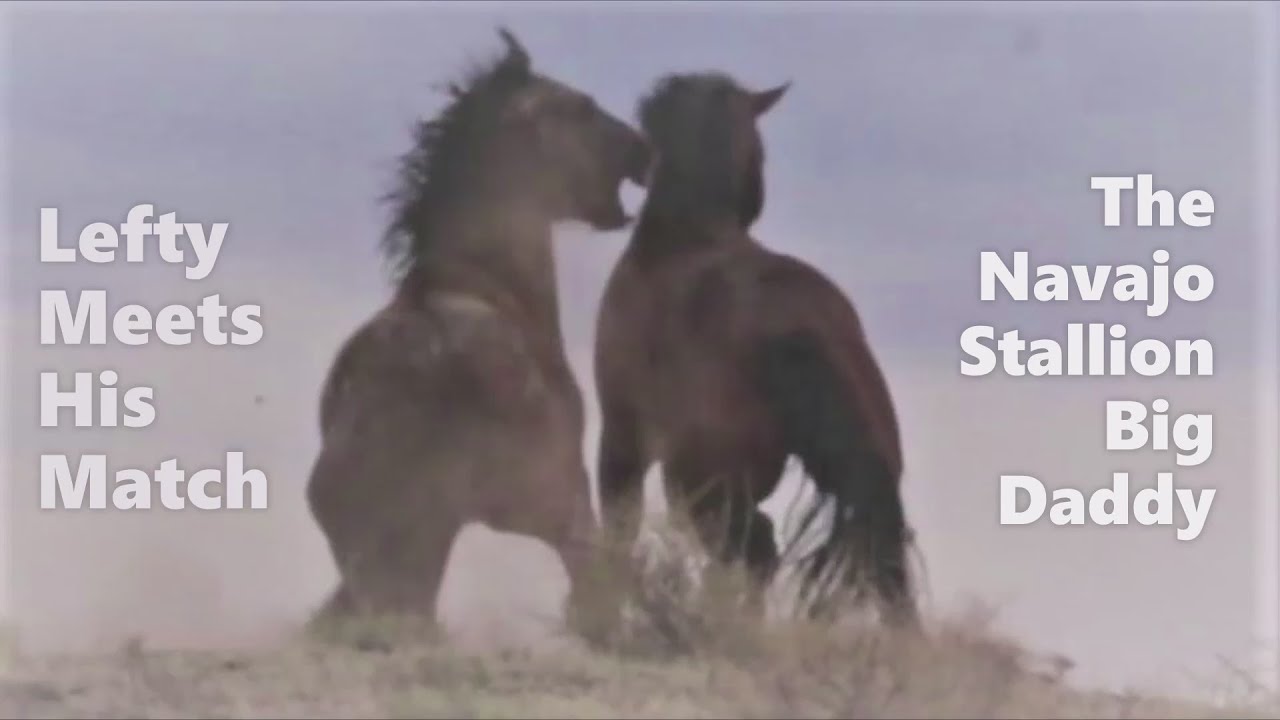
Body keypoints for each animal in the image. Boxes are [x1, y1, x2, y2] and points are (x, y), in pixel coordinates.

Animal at [592, 71, 920, 630]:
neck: (681, 239)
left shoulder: (621, 438)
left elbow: (618, 530)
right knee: (879, 564)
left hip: (702, 482)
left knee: (752, 552)